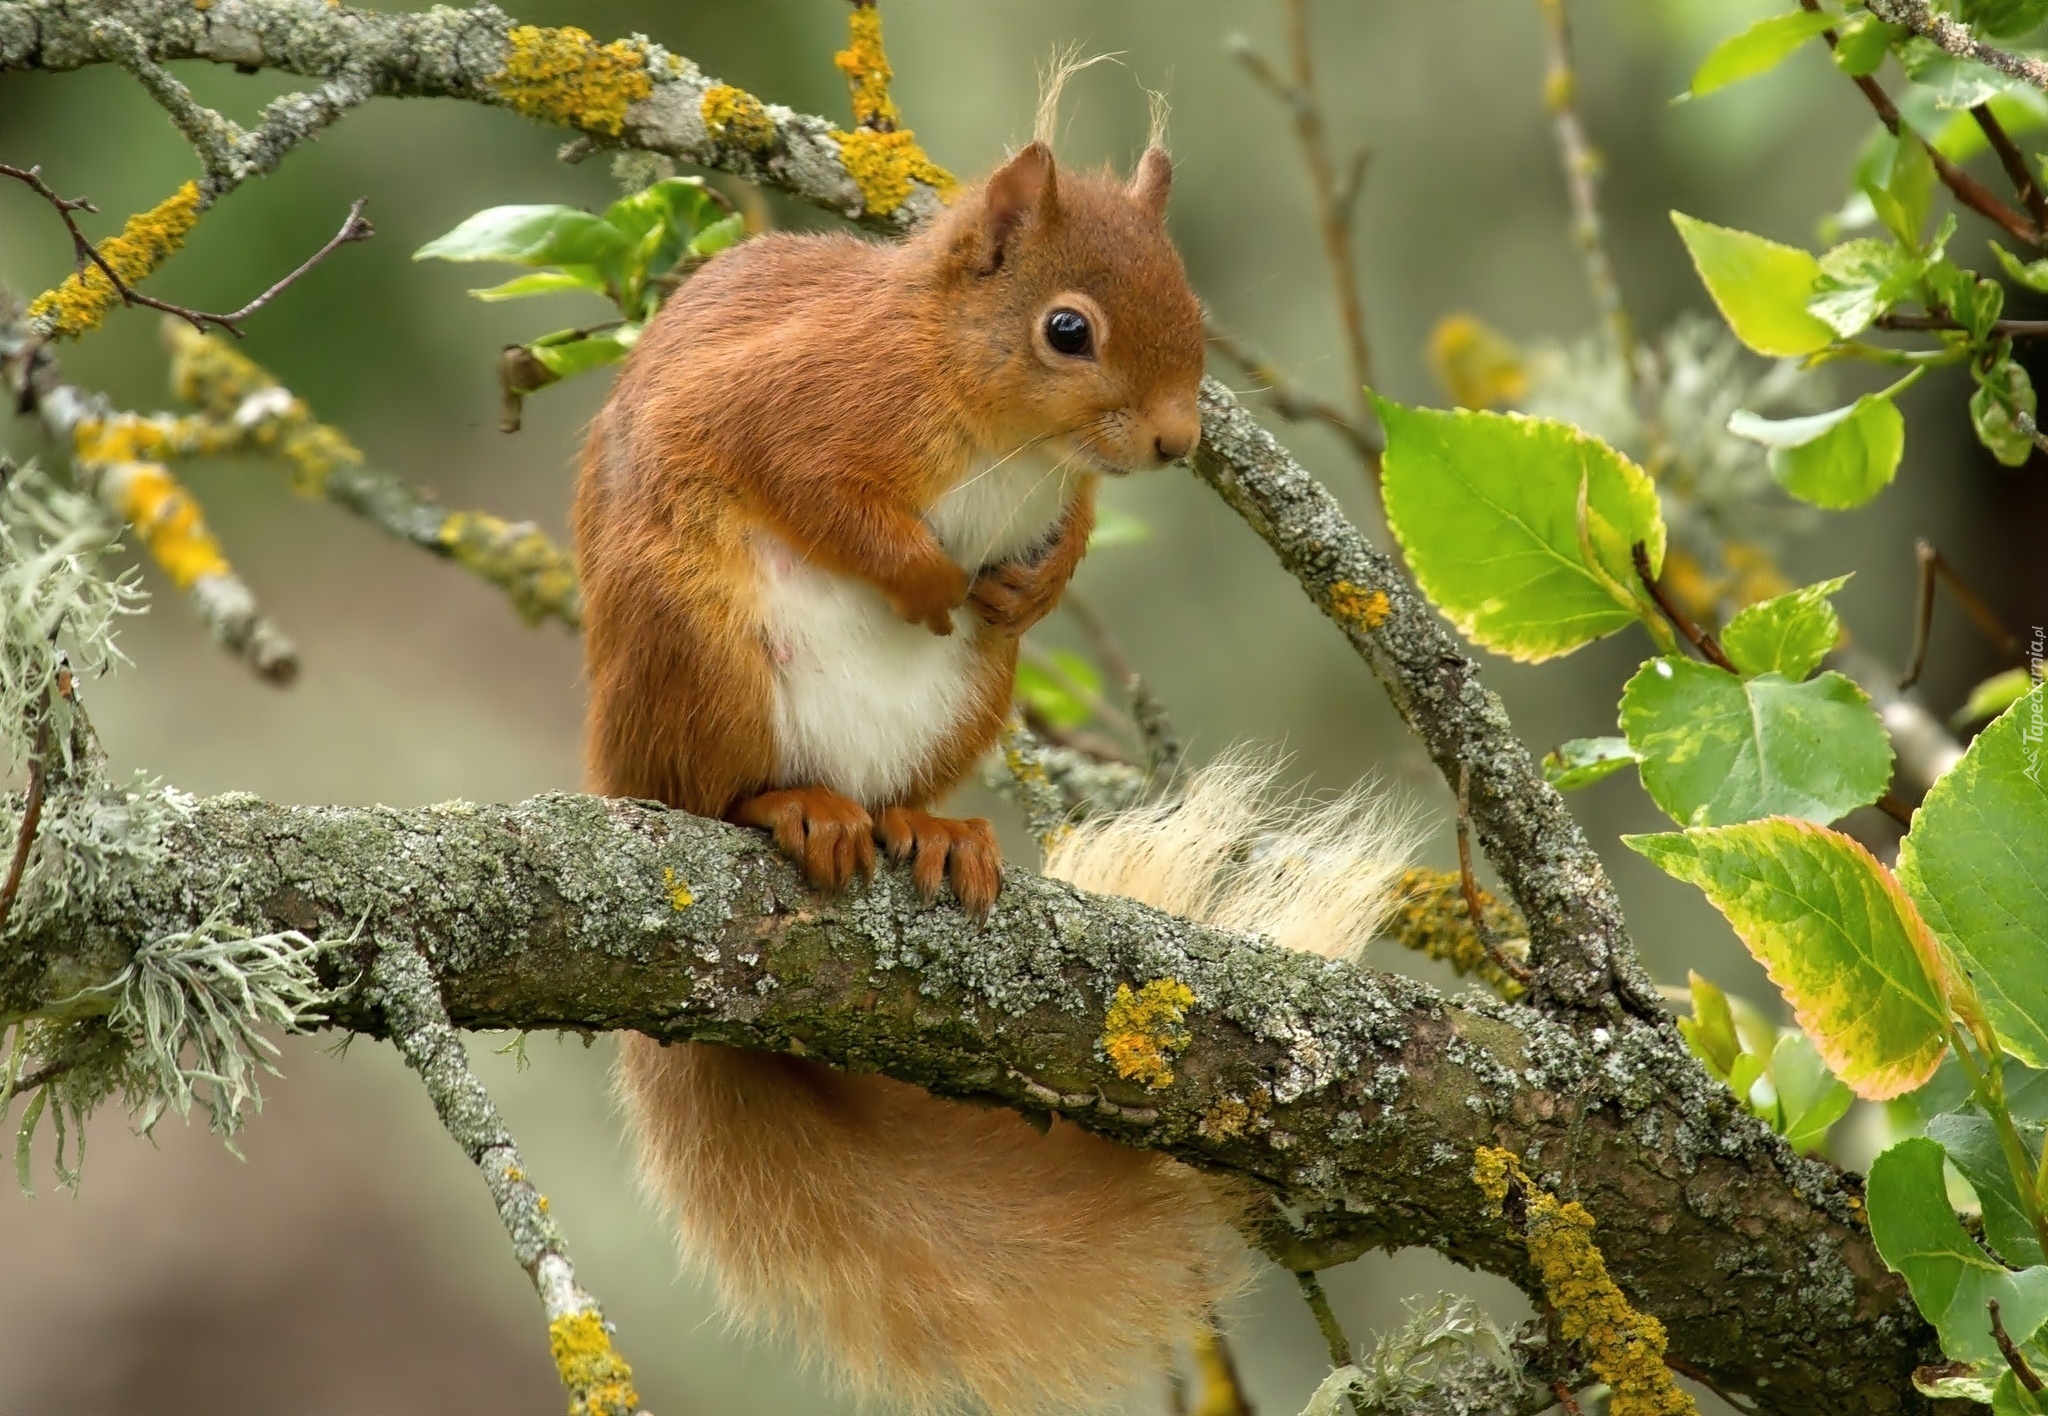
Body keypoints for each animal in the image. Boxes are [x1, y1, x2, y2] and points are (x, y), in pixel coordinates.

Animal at [581, 141, 1245, 1409]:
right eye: (1067, 331)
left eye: (1193, 304)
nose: (1176, 441)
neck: (1005, 431)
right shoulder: (802, 403)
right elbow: (820, 492)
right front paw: (929, 579)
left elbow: (1067, 532)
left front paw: (1032, 579)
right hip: (693, 649)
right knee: (710, 794)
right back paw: (793, 807)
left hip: (968, 700)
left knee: (898, 791)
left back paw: (930, 831)